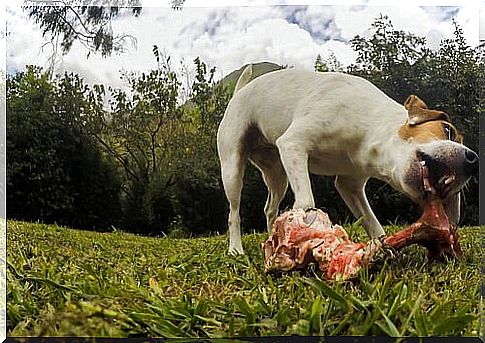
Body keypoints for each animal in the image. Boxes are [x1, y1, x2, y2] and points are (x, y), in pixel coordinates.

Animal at [218, 67, 476, 255]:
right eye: (448, 130)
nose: (473, 159)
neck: (368, 126)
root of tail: (239, 92)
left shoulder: (350, 184)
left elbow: (372, 223)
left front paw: (382, 250)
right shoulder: (293, 144)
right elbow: (306, 201)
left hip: (277, 175)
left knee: (270, 208)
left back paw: (272, 235)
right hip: (232, 167)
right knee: (233, 213)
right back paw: (236, 249)